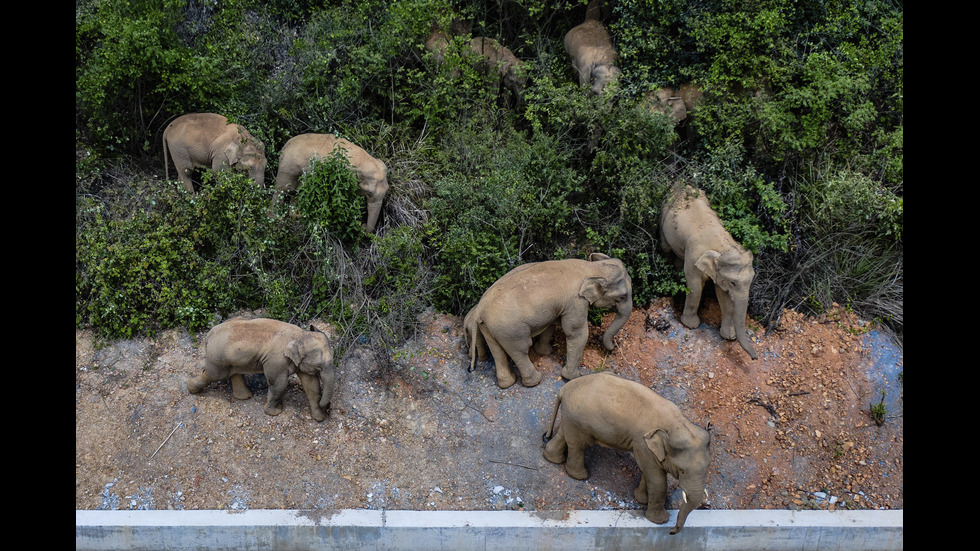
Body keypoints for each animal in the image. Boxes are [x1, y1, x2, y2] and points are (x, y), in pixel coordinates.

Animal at [188, 320, 336, 422]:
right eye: (319, 366)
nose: (328, 407)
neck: (300, 334)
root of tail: (208, 335)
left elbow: (311, 385)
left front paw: (319, 418)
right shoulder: (276, 360)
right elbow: (279, 384)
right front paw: (274, 413)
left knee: (234, 373)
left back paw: (245, 397)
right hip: (217, 357)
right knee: (213, 375)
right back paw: (191, 389)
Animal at [462, 253, 632, 388]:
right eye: (622, 296)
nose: (613, 348)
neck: (591, 268)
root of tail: (480, 310)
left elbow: (551, 324)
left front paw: (545, 352)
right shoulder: (576, 301)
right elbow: (576, 333)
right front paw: (573, 377)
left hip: (490, 327)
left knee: (497, 351)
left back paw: (507, 383)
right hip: (510, 330)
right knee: (520, 350)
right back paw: (535, 381)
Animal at [544, 370, 712, 536]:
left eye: (707, 469)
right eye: (682, 471)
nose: (671, 531)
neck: (678, 423)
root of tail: (565, 388)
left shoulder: (647, 447)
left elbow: (648, 472)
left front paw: (642, 499)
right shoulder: (642, 443)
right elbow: (657, 479)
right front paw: (660, 520)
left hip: (571, 416)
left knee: (564, 435)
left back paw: (552, 458)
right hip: (579, 419)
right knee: (578, 444)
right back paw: (580, 476)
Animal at [664, 187, 760, 362]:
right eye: (733, 283)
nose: (754, 358)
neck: (722, 247)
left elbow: (724, 296)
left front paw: (729, 336)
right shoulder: (694, 256)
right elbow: (695, 286)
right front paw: (691, 325)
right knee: (666, 248)